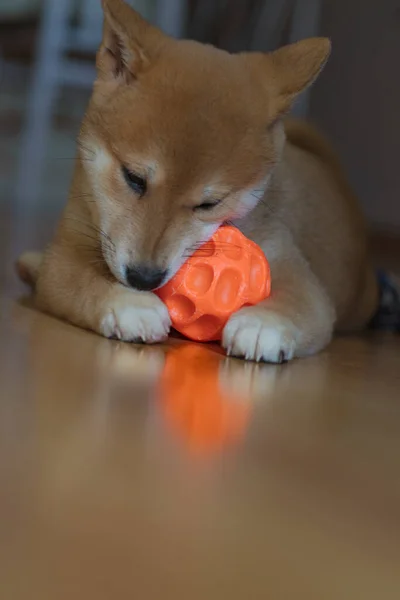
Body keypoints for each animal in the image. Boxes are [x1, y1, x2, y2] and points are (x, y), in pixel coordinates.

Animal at [17, 0, 378, 360]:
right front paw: (130, 304)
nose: (143, 278)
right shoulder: (65, 253)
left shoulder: (293, 269)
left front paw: (263, 324)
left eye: (209, 204)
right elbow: (85, 283)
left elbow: (298, 303)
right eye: (134, 178)